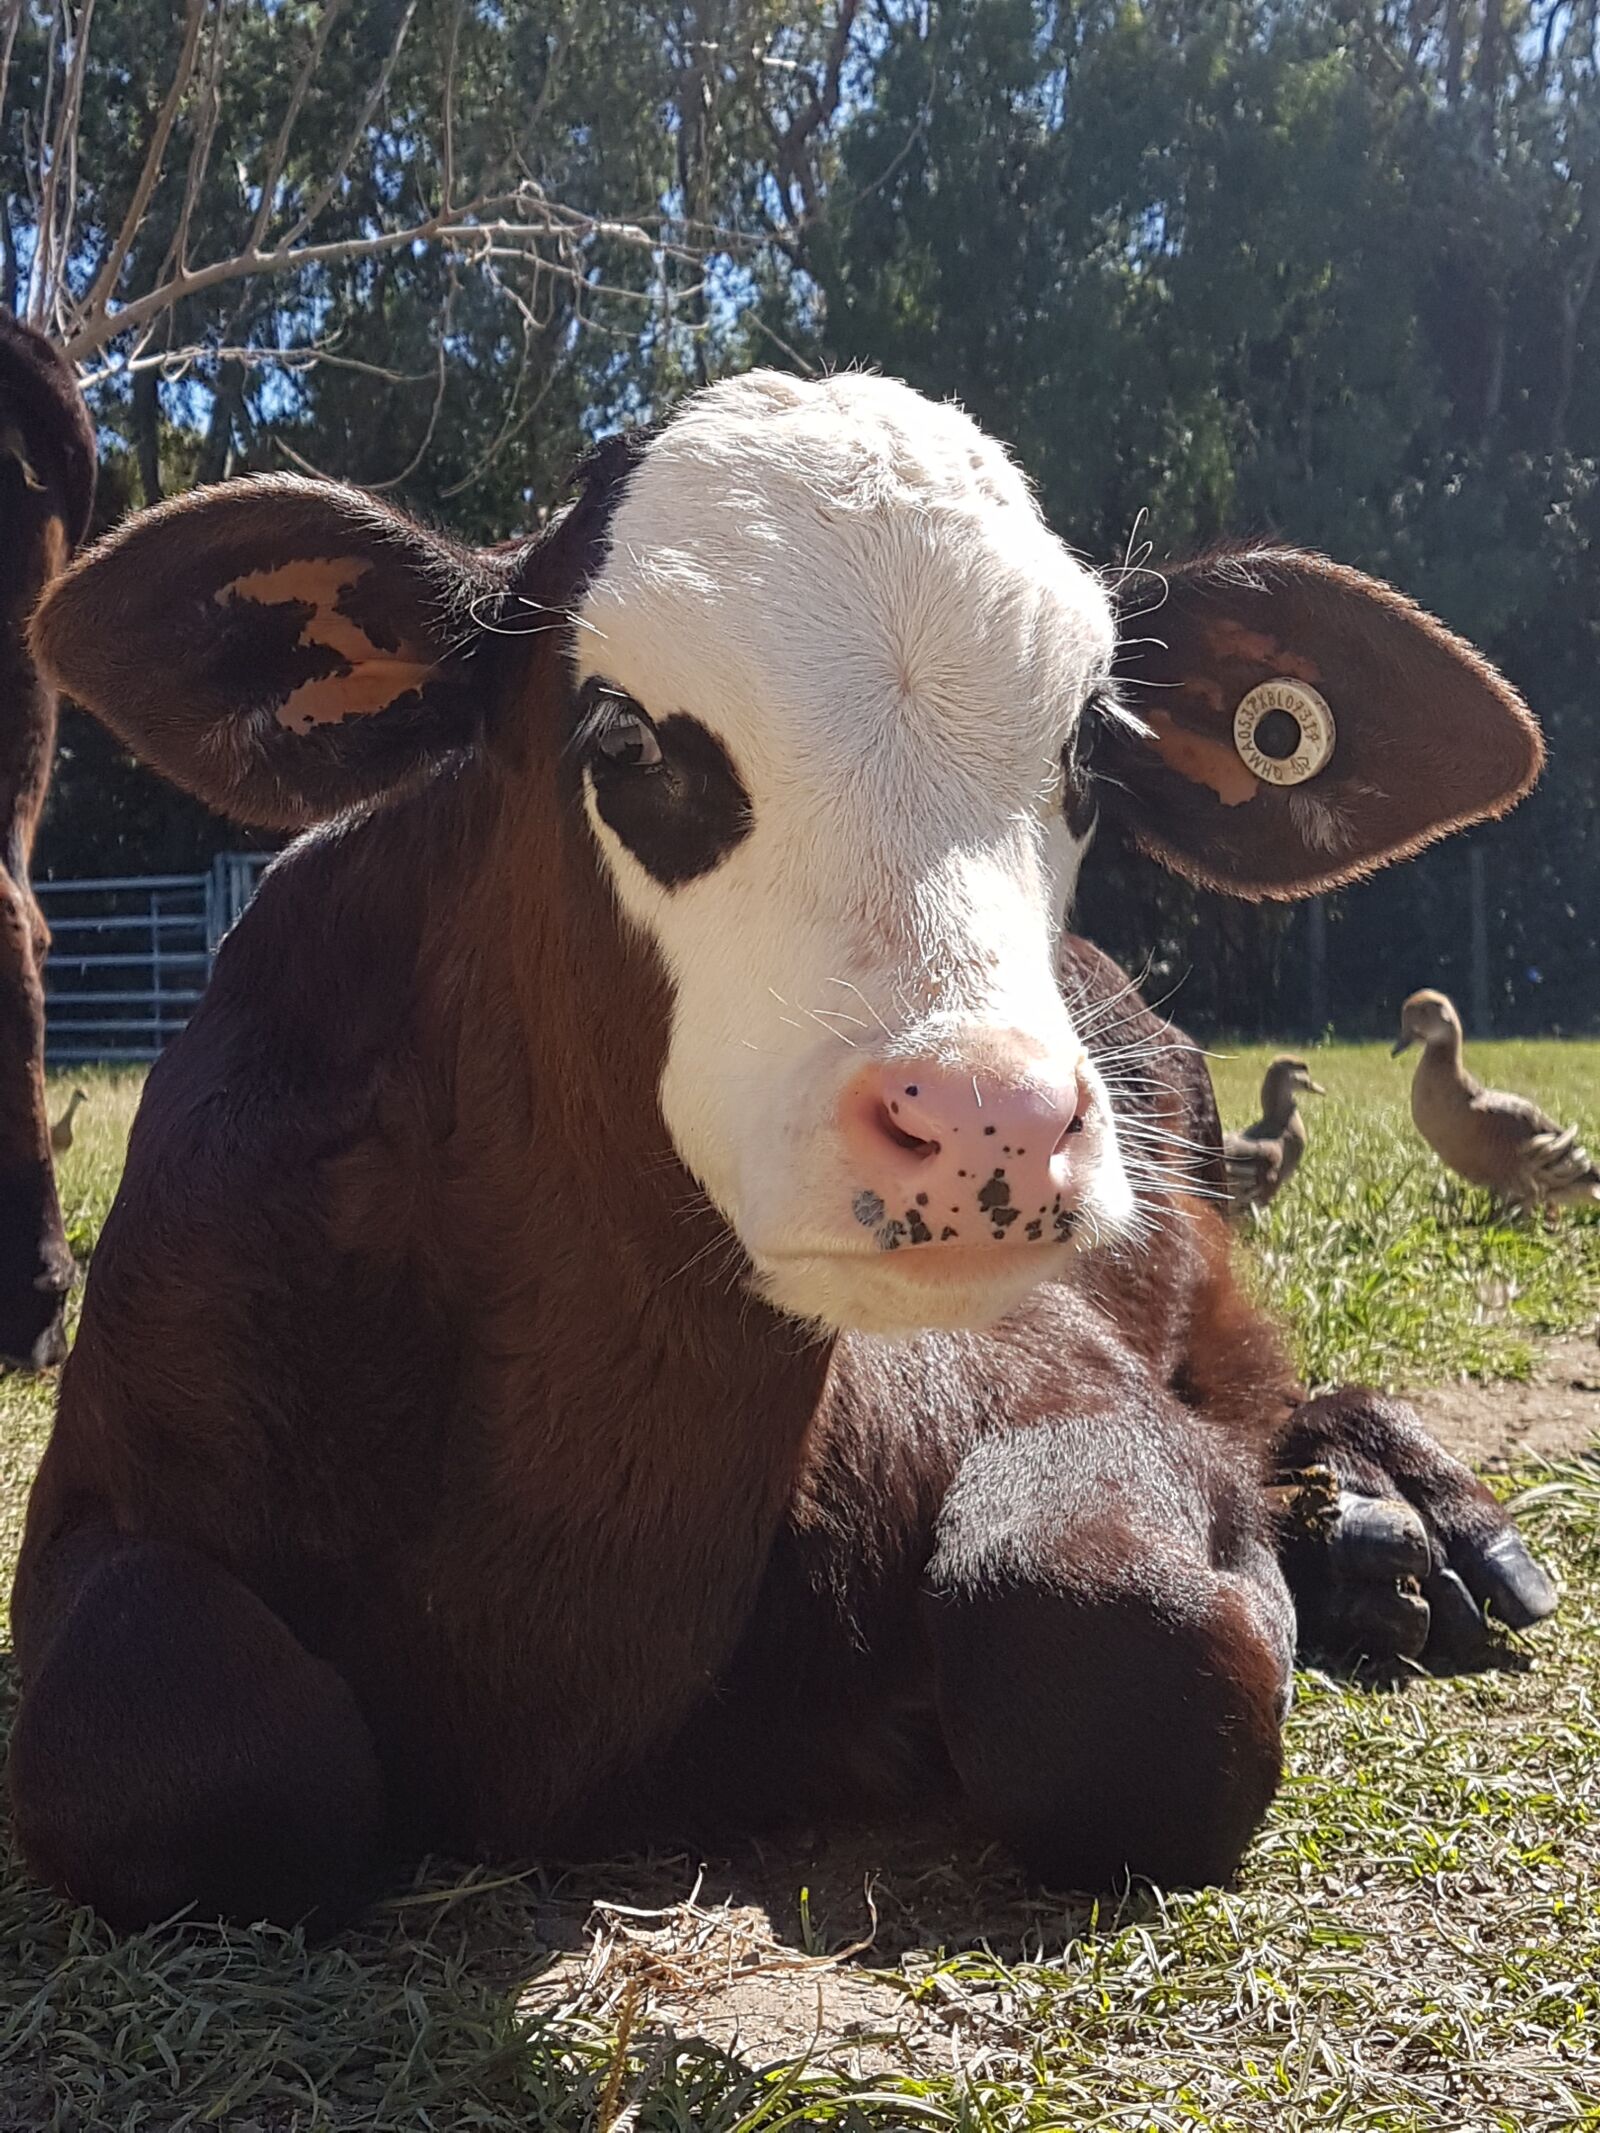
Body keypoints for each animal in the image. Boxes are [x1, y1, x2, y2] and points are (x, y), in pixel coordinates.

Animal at [10, 371, 1557, 1932]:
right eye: (623, 739)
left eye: (1087, 750)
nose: (989, 1119)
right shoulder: (110, 1492)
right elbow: (190, 1746)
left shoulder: (1065, 1377)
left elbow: (1118, 1646)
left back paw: (1403, 1522)